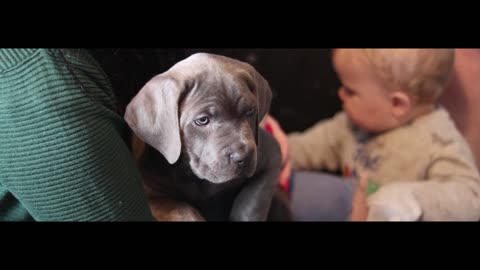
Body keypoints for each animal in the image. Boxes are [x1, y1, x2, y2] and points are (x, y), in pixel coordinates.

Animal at [123, 52, 284, 221]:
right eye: (202, 120)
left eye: (250, 112)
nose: (244, 157)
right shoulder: (150, 197)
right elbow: (182, 208)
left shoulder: (271, 156)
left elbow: (252, 204)